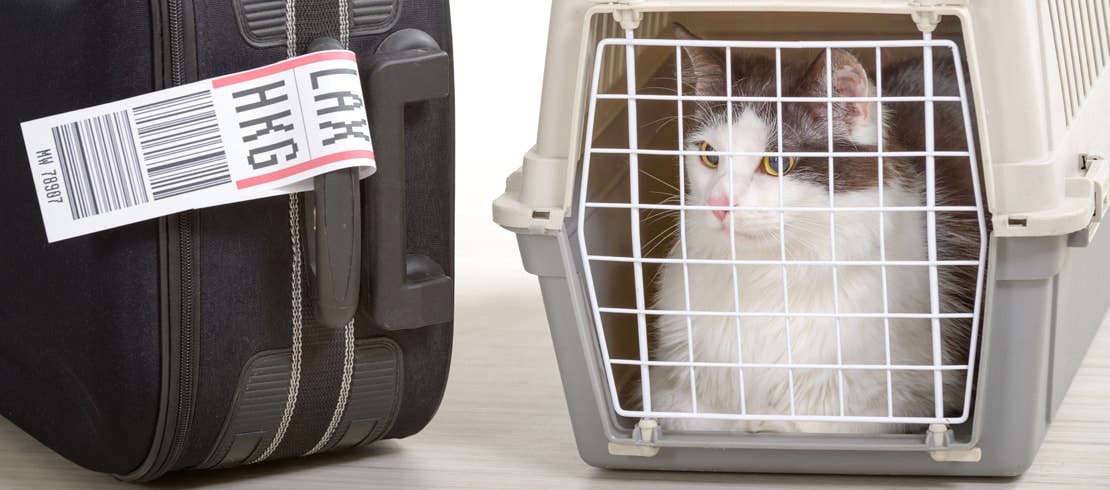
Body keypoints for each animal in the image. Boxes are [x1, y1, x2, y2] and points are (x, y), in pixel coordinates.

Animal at [648, 24, 985, 433]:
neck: (767, 273)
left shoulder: (887, 404)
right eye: (710, 155)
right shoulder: (674, 389)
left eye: (777, 163)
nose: (718, 203)